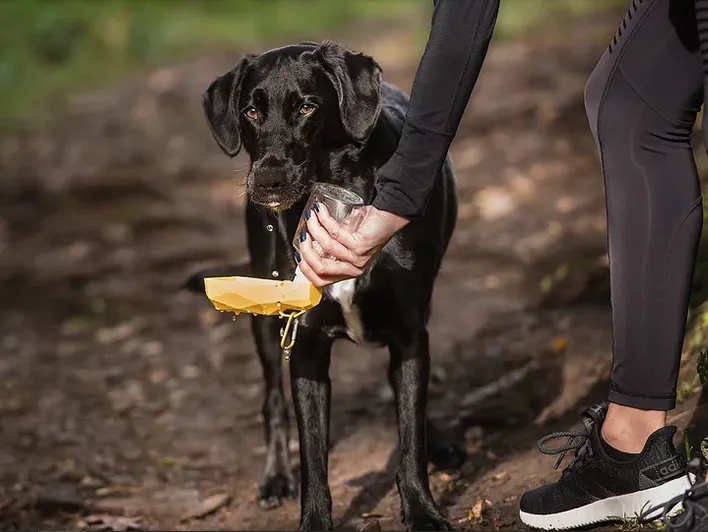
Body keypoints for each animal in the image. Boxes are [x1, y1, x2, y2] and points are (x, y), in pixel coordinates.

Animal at [192, 42, 460, 532]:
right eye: (251, 112)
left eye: (307, 107)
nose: (268, 182)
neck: (337, 200)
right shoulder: (306, 346)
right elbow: (314, 457)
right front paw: (314, 519)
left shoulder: (410, 332)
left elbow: (410, 434)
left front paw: (422, 510)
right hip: (264, 319)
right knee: (272, 402)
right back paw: (274, 477)